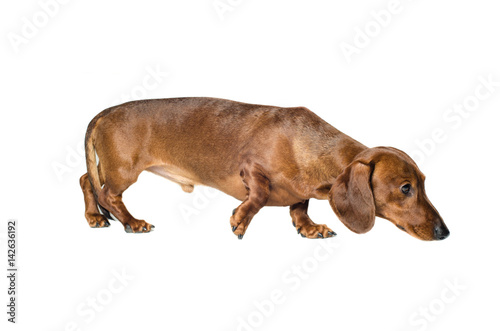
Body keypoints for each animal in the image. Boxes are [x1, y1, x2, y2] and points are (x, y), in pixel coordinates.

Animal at [79, 98, 450, 241]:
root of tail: (104, 112)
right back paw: (131, 222)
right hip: (123, 170)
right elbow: (257, 196)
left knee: (87, 180)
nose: (444, 233)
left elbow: (299, 207)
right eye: (405, 188)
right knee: (108, 194)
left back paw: (95, 218)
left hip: (108, 168)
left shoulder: (303, 191)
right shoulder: (251, 169)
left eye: (424, 183)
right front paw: (240, 220)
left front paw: (310, 227)